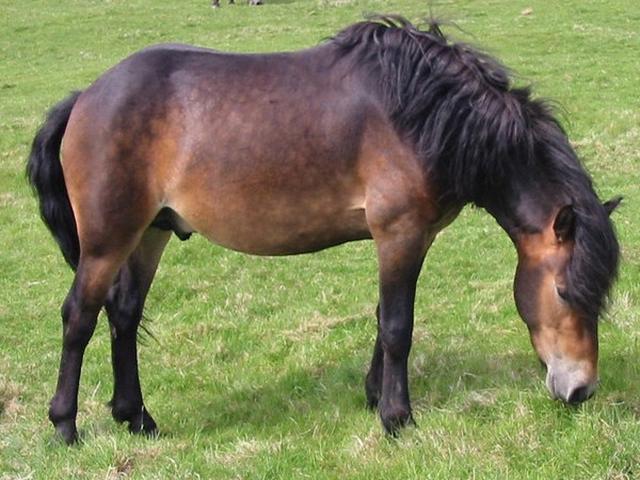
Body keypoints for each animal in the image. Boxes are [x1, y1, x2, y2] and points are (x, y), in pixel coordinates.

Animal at [27, 16, 620, 444]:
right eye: (564, 291)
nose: (581, 390)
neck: (422, 113)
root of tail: (86, 97)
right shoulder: (400, 233)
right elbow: (399, 327)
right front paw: (398, 418)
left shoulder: (413, 237)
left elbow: (384, 318)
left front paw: (374, 396)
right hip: (107, 241)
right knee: (79, 318)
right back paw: (65, 426)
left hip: (150, 232)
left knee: (124, 316)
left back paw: (137, 419)